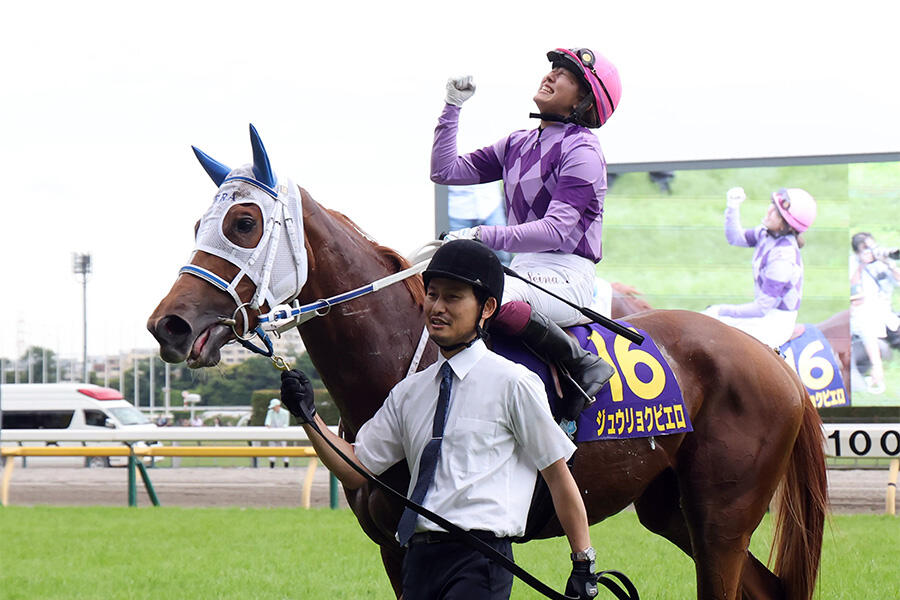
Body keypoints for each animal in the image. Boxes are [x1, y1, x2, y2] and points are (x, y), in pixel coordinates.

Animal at [147, 128, 827, 600]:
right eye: (200, 221)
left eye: (243, 222)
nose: (168, 325)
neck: (411, 359)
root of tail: (774, 362)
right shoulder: (398, 547)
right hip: (667, 507)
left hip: (720, 516)